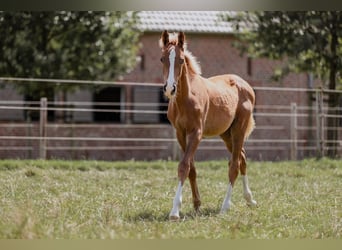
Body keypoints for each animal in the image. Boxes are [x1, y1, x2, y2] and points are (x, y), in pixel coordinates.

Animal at [160, 30, 256, 221]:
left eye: (180, 60)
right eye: (162, 59)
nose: (169, 88)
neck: (185, 99)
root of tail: (246, 85)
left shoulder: (196, 133)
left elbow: (184, 166)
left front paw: (175, 211)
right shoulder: (180, 133)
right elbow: (191, 168)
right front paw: (197, 204)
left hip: (239, 129)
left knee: (234, 164)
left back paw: (225, 207)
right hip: (226, 134)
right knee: (242, 158)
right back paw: (249, 199)